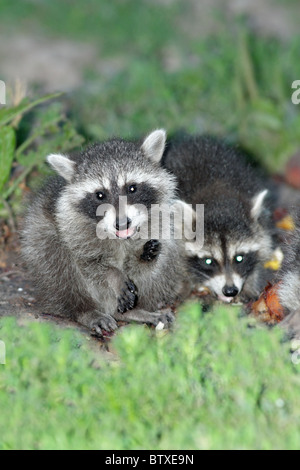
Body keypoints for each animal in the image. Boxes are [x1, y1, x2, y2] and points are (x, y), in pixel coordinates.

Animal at [21, 129, 188, 334]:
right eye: (100, 195)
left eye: (132, 188)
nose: (122, 223)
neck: (121, 238)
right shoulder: (71, 229)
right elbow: (89, 264)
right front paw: (113, 275)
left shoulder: (159, 223)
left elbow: (149, 263)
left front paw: (142, 257)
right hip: (40, 234)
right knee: (58, 263)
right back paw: (85, 310)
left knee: (168, 257)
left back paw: (135, 311)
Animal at [163, 135, 278, 304]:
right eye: (208, 261)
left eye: (239, 258)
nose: (230, 291)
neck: (217, 195)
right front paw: (182, 285)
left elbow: (263, 247)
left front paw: (250, 283)